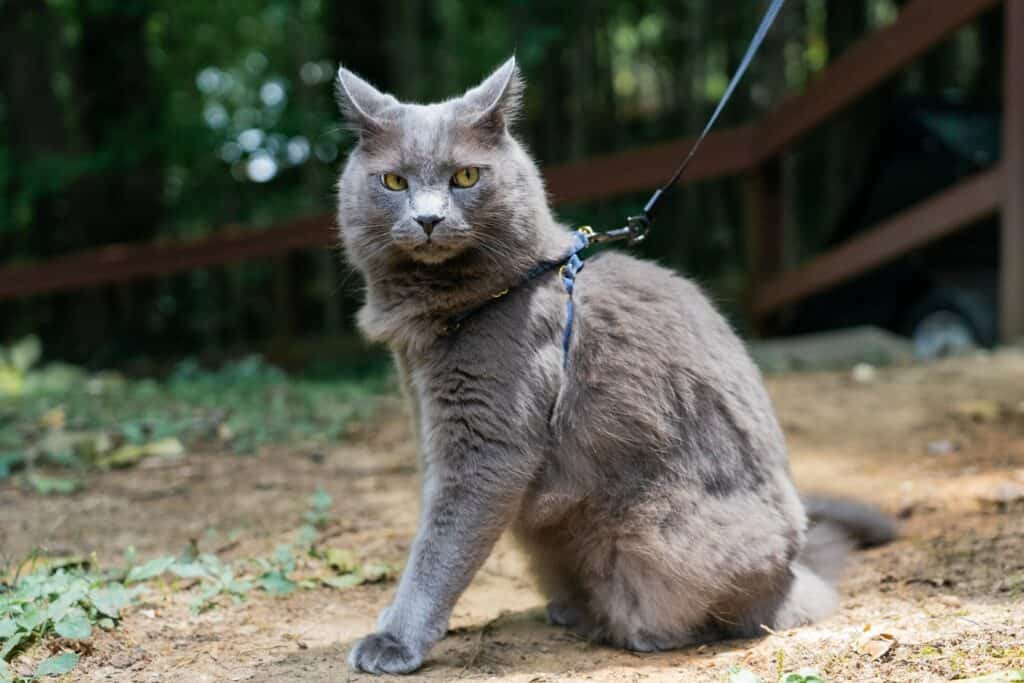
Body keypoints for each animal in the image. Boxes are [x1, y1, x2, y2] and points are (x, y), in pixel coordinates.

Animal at [333, 57, 888, 671]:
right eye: (393, 182)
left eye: (466, 177)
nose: (428, 219)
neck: (459, 308)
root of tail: (796, 569)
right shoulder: (430, 420)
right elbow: (431, 530)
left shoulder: (487, 448)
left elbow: (440, 547)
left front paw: (394, 641)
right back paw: (571, 610)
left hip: (660, 535)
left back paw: (626, 628)